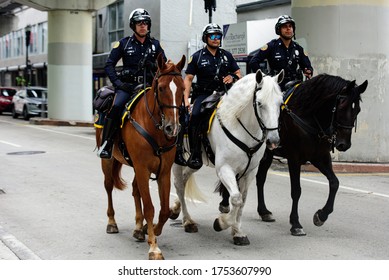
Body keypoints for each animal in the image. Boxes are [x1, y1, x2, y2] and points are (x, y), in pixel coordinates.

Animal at [94, 54, 184, 260]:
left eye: (183, 88)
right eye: (161, 88)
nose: (172, 128)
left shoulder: (163, 171)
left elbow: (164, 209)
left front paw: (148, 230)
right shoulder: (143, 168)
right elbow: (150, 207)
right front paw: (154, 247)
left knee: (135, 190)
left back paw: (137, 227)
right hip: (108, 161)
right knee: (109, 186)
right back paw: (112, 222)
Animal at [171, 70, 284, 245]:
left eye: (280, 103)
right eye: (259, 103)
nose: (274, 141)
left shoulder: (250, 171)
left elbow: (242, 200)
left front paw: (238, 232)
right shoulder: (224, 169)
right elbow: (236, 198)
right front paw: (221, 222)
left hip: (194, 162)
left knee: (183, 180)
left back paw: (176, 208)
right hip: (178, 160)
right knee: (179, 185)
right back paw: (187, 221)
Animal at [220, 74, 368, 236]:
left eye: (357, 110)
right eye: (342, 107)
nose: (344, 144)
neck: (309, 116)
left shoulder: (320, 157)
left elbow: (334, 183)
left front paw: (321, 215)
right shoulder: (294, 158)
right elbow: (296, 190)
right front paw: (296, 223)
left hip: (267, 155)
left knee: (260, 179)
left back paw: (264, 211)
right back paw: (225, 203)